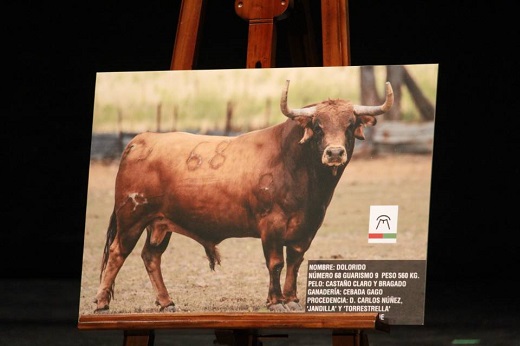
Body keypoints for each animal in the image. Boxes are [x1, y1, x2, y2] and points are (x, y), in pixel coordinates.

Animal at [94, 79, 394, 312]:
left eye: (350, 124)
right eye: (318, 125)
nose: (334, 153)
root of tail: (141, 139)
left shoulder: (307, 228)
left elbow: (294, 262)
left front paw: (292, 299)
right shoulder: (271, 226)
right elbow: (276, 263)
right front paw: (275, 302)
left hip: (159, 224)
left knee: (151, 256)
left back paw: (167, 303)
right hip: (132, 218)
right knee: (118, 253)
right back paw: (101, 303)